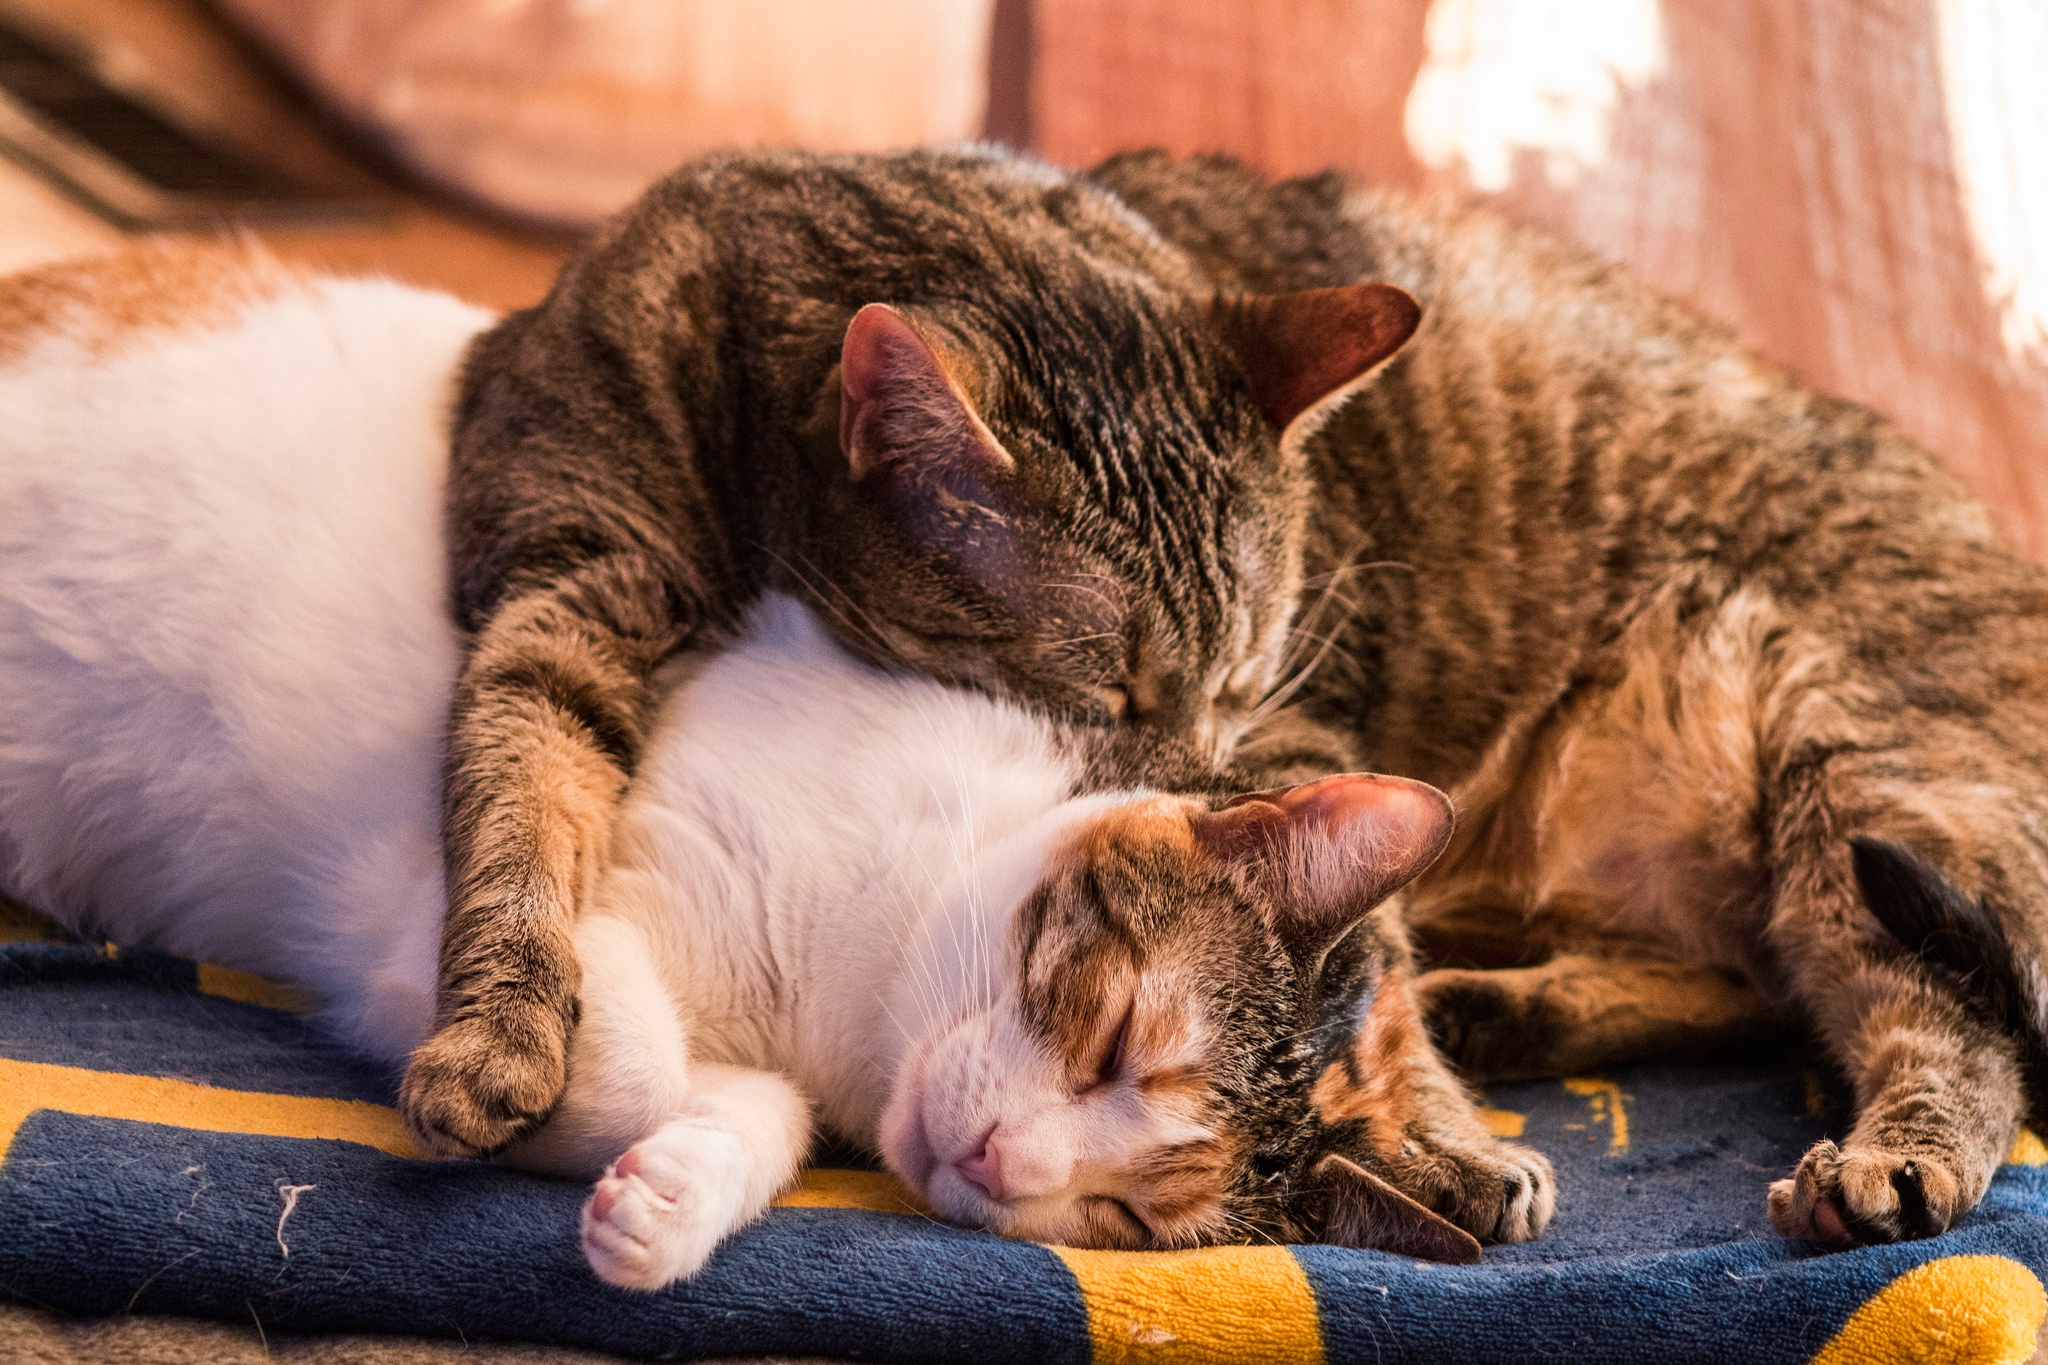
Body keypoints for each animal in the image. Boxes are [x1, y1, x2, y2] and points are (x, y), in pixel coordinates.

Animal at [0, 248, 1540, 1293]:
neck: (846, 996)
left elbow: (754, 1109)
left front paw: (668, 1196)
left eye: (1126, 1219)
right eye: (1115, 1039)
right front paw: (542, 1115)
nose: (1007, 1168)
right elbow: (608, 1043)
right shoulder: (451, 899)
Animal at [407, 147, 1417, 1154]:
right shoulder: (572, 584)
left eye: (1239, 685)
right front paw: (497, 1028)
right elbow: (521, 790)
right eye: (1104, 692)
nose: (1187, 778)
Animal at [1097, 149, 2048, 1252]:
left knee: (1957, 1022)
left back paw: (1887, 1169)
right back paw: (1492, 1010)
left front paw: (1416, 1147)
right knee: (1767, 989)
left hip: (1861, 773)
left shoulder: (1287, 733)